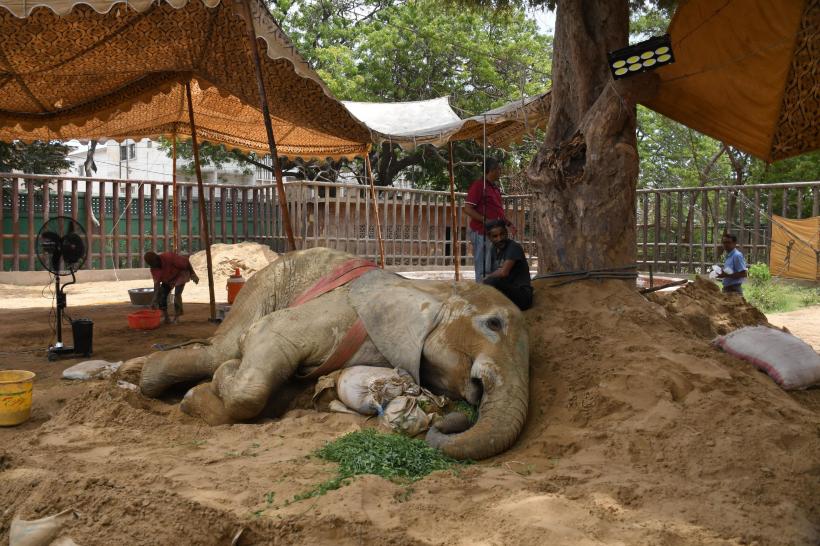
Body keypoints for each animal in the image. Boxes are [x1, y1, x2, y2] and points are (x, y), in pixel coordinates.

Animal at [139, 248, 529, 460]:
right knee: (220, 348)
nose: (455, 419)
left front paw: (200, 396)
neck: (434, 288)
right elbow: (263, 339)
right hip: (266, 282)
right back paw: (148, 380)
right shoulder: (344, 312)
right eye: (493, 324)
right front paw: (213, 384)